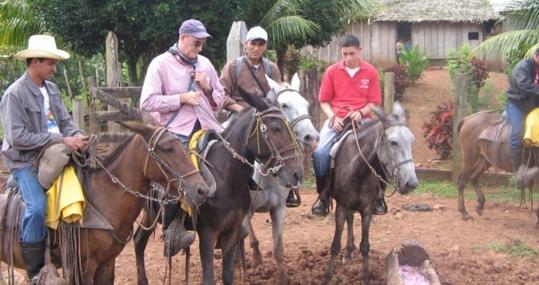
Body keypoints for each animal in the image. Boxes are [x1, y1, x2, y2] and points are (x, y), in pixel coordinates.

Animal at [133, 87, 306, 282]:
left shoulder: (232, 230)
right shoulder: (208, 234)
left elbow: (228, 274)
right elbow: (209, 278)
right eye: (276, 128)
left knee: (138, 240)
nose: (297, 173)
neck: (226, 178)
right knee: (139, 241)